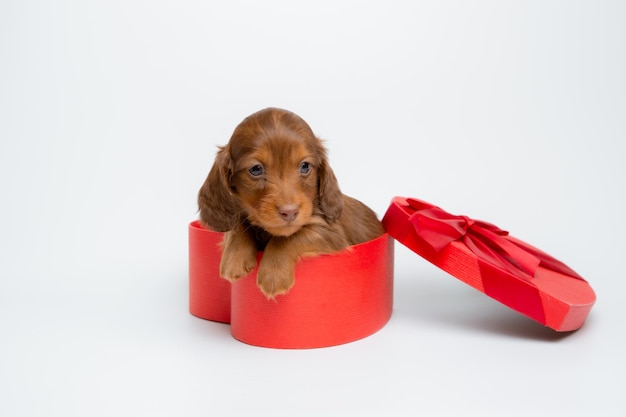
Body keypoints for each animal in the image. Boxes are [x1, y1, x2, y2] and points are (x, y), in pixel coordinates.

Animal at [197, 107, 382, 300]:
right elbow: (238, 223)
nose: (290, 212)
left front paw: (273, 275)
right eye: (256, 169)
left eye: (305, 166)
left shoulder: (332, 234)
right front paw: (234, 258)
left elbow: (293, 236)